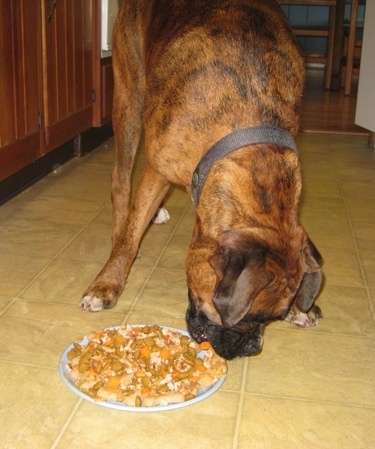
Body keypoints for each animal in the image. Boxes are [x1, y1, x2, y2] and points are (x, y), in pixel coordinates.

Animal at [81, 0, 324, 358]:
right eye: (242, 318)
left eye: (271, 319)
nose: (251, 348)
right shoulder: (157, 170)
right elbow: (131, 235)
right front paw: (108, 282)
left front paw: (301, 308)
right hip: (129, 100)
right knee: (121, 183)